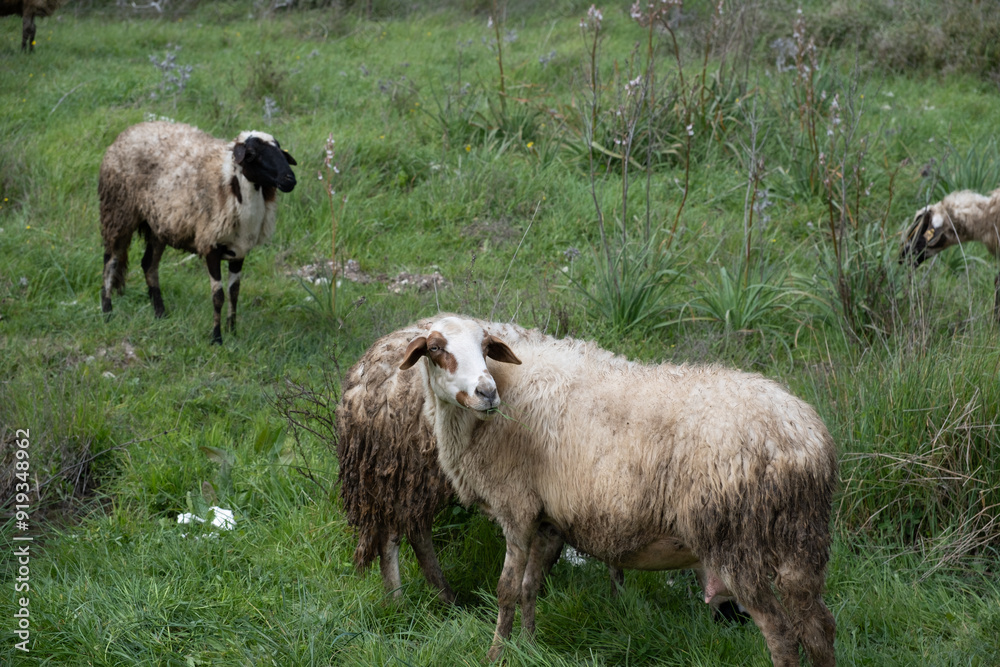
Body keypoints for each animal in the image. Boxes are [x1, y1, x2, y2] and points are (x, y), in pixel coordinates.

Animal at [99, 121, 297, 344]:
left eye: (280, 150)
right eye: (252, 153)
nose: (290, 179)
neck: (229, 183)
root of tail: (129, 131)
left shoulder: (239, 251)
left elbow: (234, 292)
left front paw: (233, 331)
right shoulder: (210, 245)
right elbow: (218, 295)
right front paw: (217, 338)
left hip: (159, 224)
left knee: (149, 264)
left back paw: (160, 314)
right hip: (117, 211)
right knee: (110, 261)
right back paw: (107, 313)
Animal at [400, 315, 838, 667]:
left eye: (486, 348)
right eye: (436, 349)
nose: (486, 392)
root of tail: (804, 441)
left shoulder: (517, 508)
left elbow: (507, 591)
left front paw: (496, 654)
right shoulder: (548, 521)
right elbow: (530, 588)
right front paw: (529, 645)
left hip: (737, 542)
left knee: (782, 636)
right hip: (802, 542)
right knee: (819, 628)